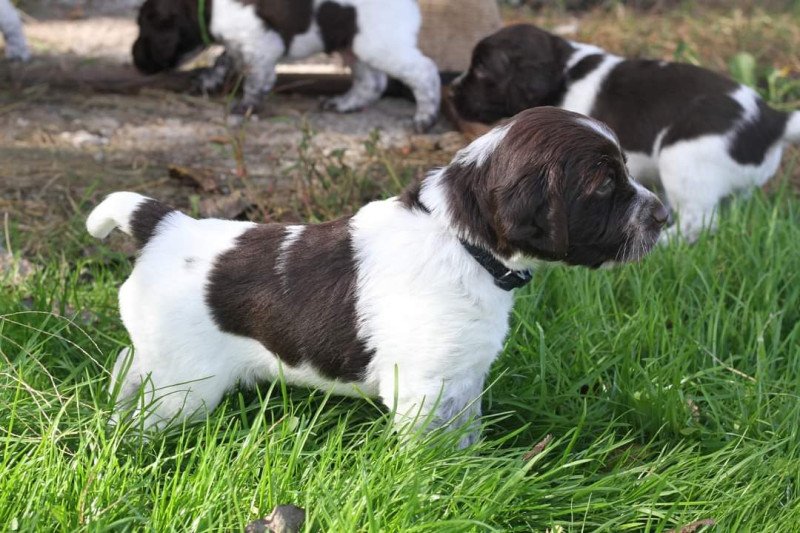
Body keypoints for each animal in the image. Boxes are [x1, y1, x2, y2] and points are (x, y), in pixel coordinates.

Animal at [86, 107, 668, 444]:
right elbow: (425, 454)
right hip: (184, 384)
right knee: (140, 410)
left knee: (125, 369)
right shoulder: (422, 388)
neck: (461, 243)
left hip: (162, 366)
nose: (665, 217)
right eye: (604, 183)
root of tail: (165, 222)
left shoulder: (463, 380)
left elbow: (466, 437)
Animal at [134, 0, 440, 132]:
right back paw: (345, 103)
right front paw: (208, 80)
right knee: (372, 82)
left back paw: (425, 118)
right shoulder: (240, 43)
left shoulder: (260, 43)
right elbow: (225, 58)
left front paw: (246, 107)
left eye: (143, 27)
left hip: (379, 44)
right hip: (352, 43)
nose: (135, 60)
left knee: (425, 72)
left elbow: (256, 80)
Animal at [450, 23, 800, 241]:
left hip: (682, 158)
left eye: (481, 69)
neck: (566, 70)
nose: (451, 91)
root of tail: (772, 119)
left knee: (697, 223)